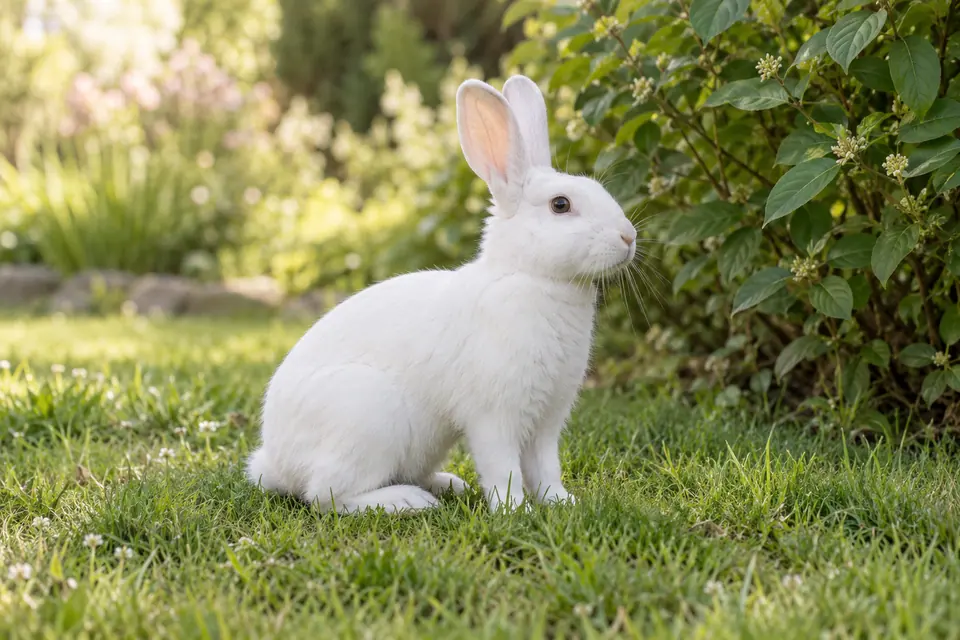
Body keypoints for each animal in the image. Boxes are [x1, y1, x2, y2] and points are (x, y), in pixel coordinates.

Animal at [246, 74, 637, 514]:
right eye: (560, 204)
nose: (629, 237)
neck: (531, 276)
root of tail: (275, 463)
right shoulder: (493, 417)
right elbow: (504, 468)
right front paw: (514, 511)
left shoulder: (547, 420)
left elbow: (545, 467)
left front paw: (561, 503)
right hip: (367, 416)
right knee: (328, 495)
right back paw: (409, 501)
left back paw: (448, 485)